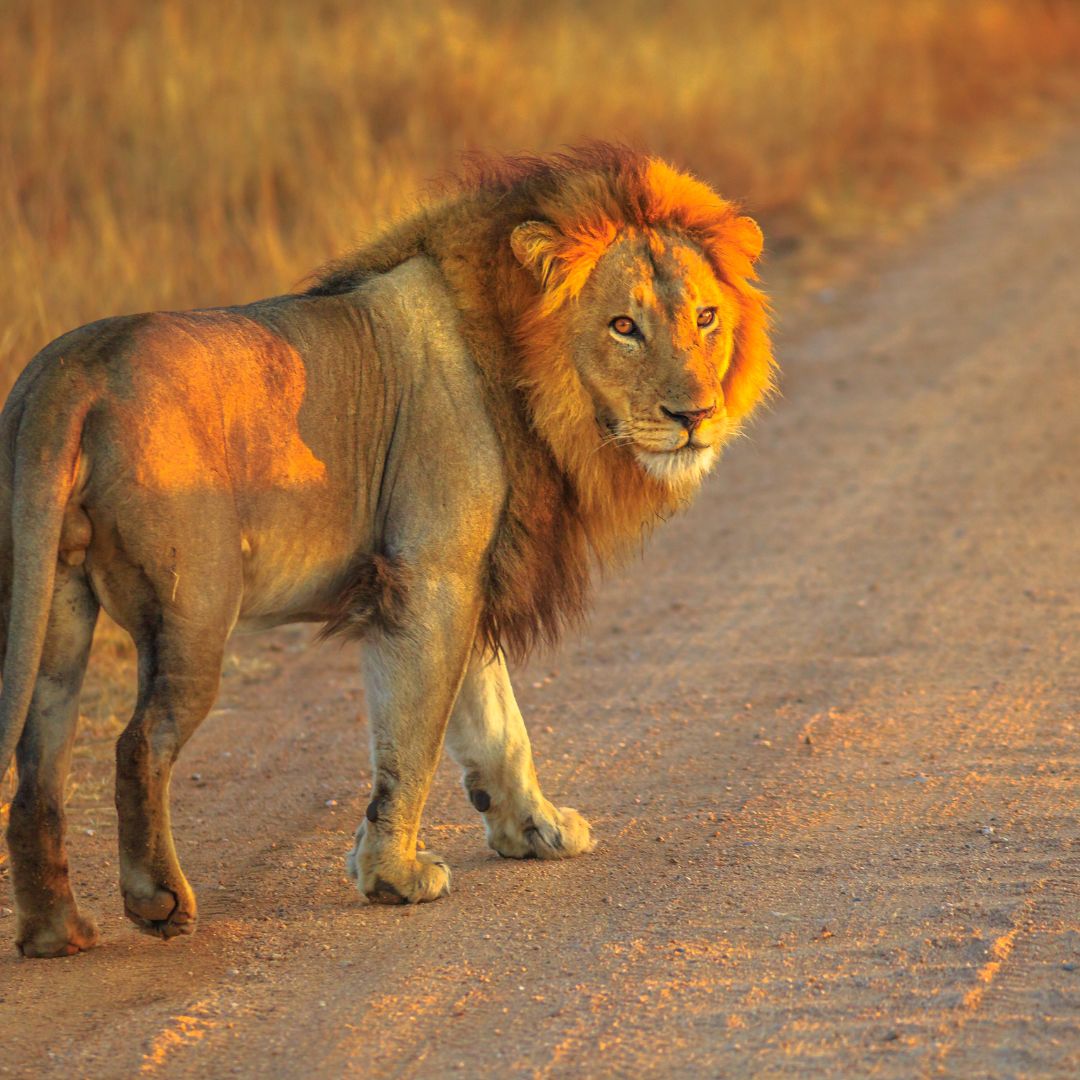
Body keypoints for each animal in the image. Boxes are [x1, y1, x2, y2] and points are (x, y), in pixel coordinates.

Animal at [0, 147, 777, 959]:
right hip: (194, 612)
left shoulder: (469, 575)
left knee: (37, 766)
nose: (695, 415)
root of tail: (71, 372)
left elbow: (497, 723)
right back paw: (158, 901)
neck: (527, 372)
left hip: (52, 605)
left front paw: (535, 829)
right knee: (137, 745)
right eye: (624, 325)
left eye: (707, 318)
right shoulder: (431, 574)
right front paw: (394, 877)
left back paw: (55, 932)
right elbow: (413, 736)